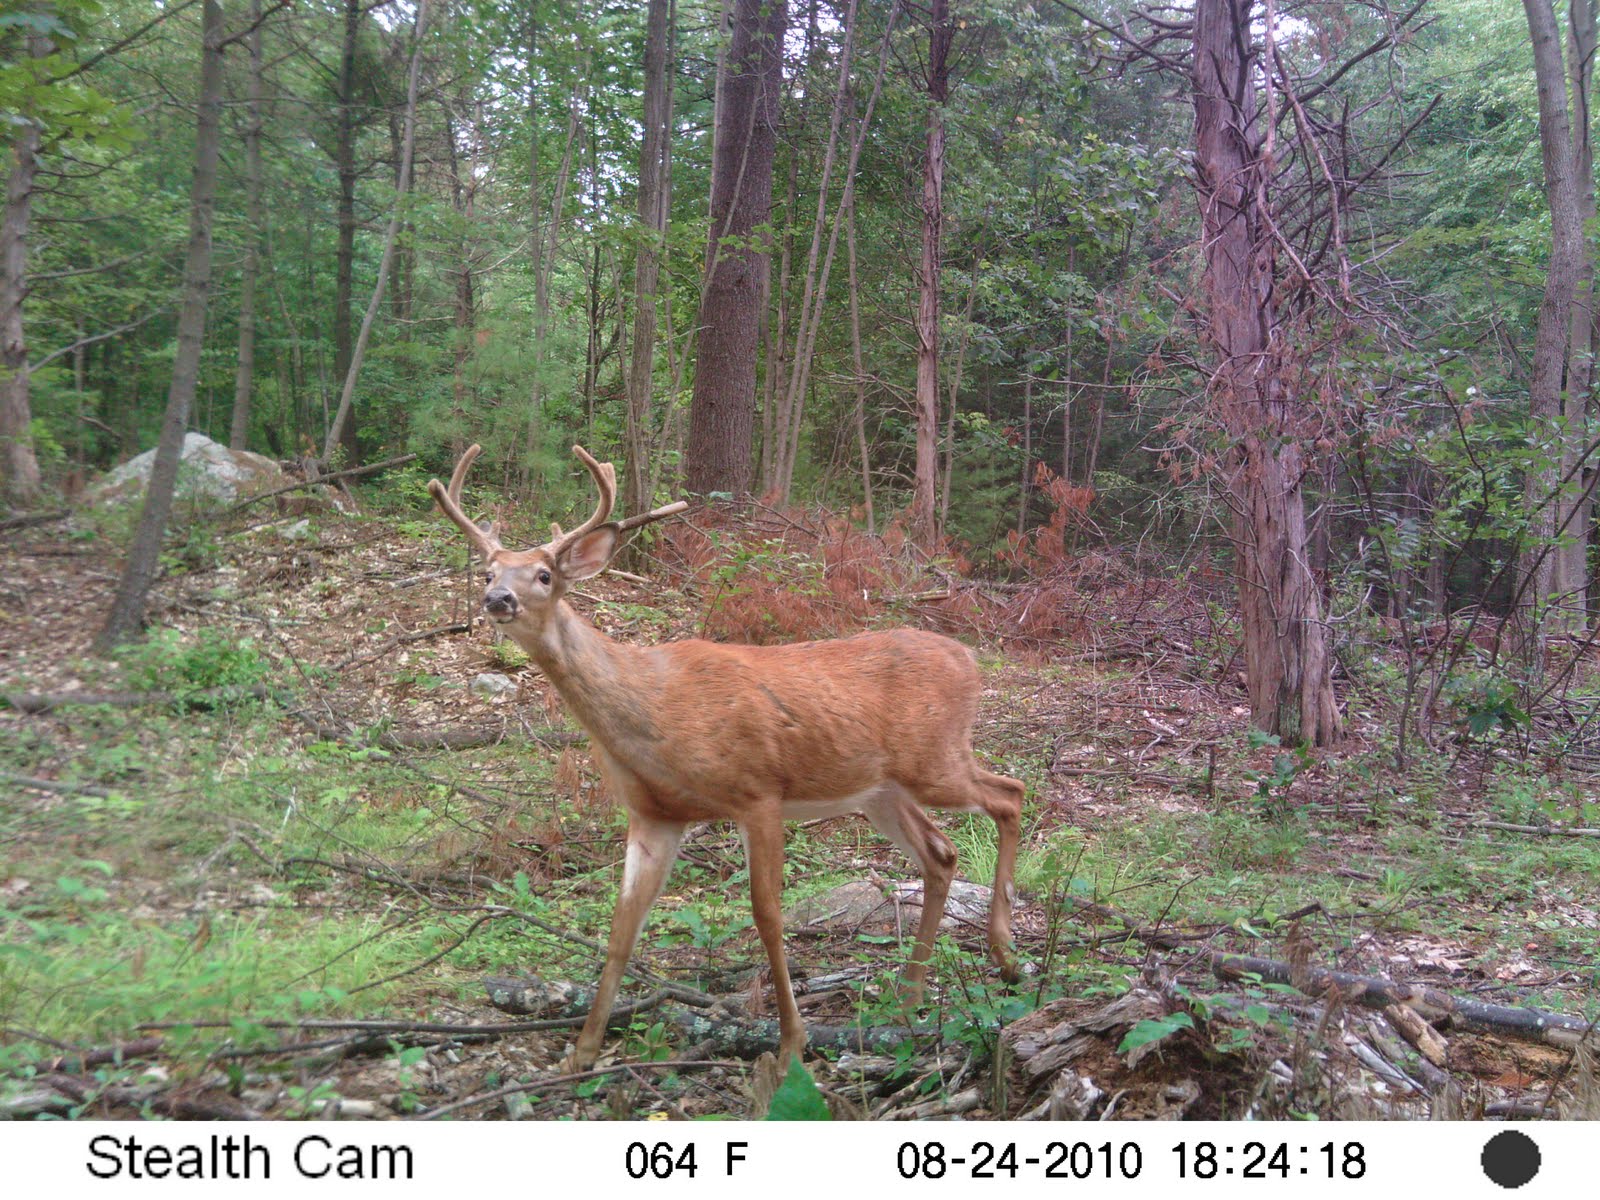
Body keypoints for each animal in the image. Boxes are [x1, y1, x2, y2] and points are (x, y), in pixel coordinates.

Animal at [429, 444, 1025, 1072]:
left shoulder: (757, 791)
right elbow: (623, 927)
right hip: (881, 791)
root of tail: (971, 659)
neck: (654, 713)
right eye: (488, 572)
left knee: (1010, 793)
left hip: (934, 759)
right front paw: (582, 1052)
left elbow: (767, 916)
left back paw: (1004, 952)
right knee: (942, 853)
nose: (498, 599)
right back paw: (910, 996)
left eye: (544, 575)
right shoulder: (654, 815)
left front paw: (790, 1044)